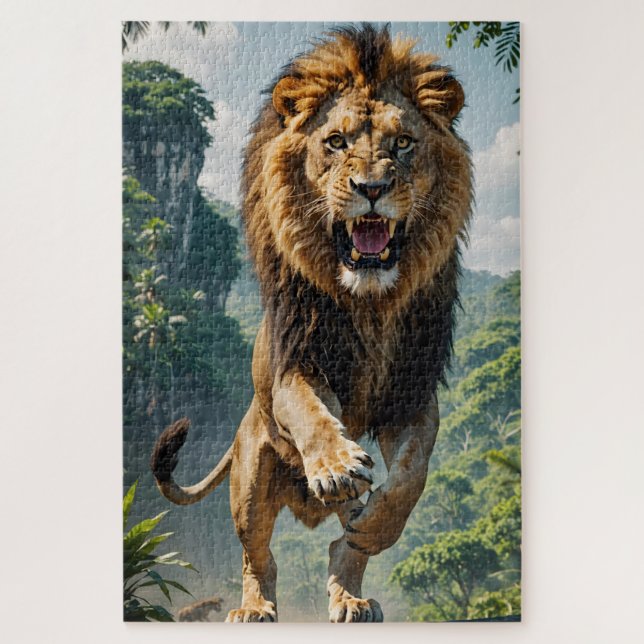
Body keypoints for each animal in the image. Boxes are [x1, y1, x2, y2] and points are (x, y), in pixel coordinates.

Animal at [151, 24, 472, 623]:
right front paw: (337, 466)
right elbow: (311, 414)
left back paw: (351, 590)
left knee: (340, 548)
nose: (372, 188)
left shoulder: (413, 392)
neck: (370, 304)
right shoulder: (295, 364)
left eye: (403, 144)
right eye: (337, 142)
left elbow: (410, 475)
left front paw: (374, 521)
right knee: (259, 556)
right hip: (250, 478)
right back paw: (254, 607)